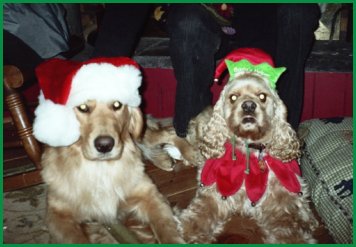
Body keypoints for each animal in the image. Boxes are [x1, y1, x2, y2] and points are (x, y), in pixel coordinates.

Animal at [31, 57, 184, 243]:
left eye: (117, 104)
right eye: (83, 107)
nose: (104, 145)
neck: (101, 169)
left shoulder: (150, 194)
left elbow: (166, 228)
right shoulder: (56, 216)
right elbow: (76, 239)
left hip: (141, 133)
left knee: (168, 133)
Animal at [170, 48, 320, 243]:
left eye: (262, 96)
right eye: (233, 97)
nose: (248, 106)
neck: (250, 147)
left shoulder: (283, 200)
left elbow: (291, 230)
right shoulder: (215, 191)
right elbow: (199, 214)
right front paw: (181, 231)